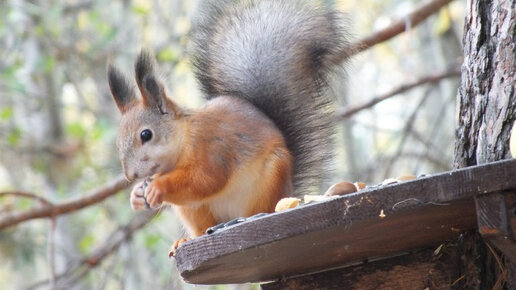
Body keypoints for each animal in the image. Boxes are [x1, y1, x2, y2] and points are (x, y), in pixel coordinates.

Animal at [107, 0, 348, 254]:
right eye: (118, 142)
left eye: (146, 134)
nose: (130, 175)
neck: (182, 142)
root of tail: (289, 191)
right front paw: (137, 195)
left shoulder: (212, 148)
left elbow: (206, 179)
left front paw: (158, 187)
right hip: (194, 209)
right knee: (202, 224)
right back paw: (186, 240)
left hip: (269, 182)